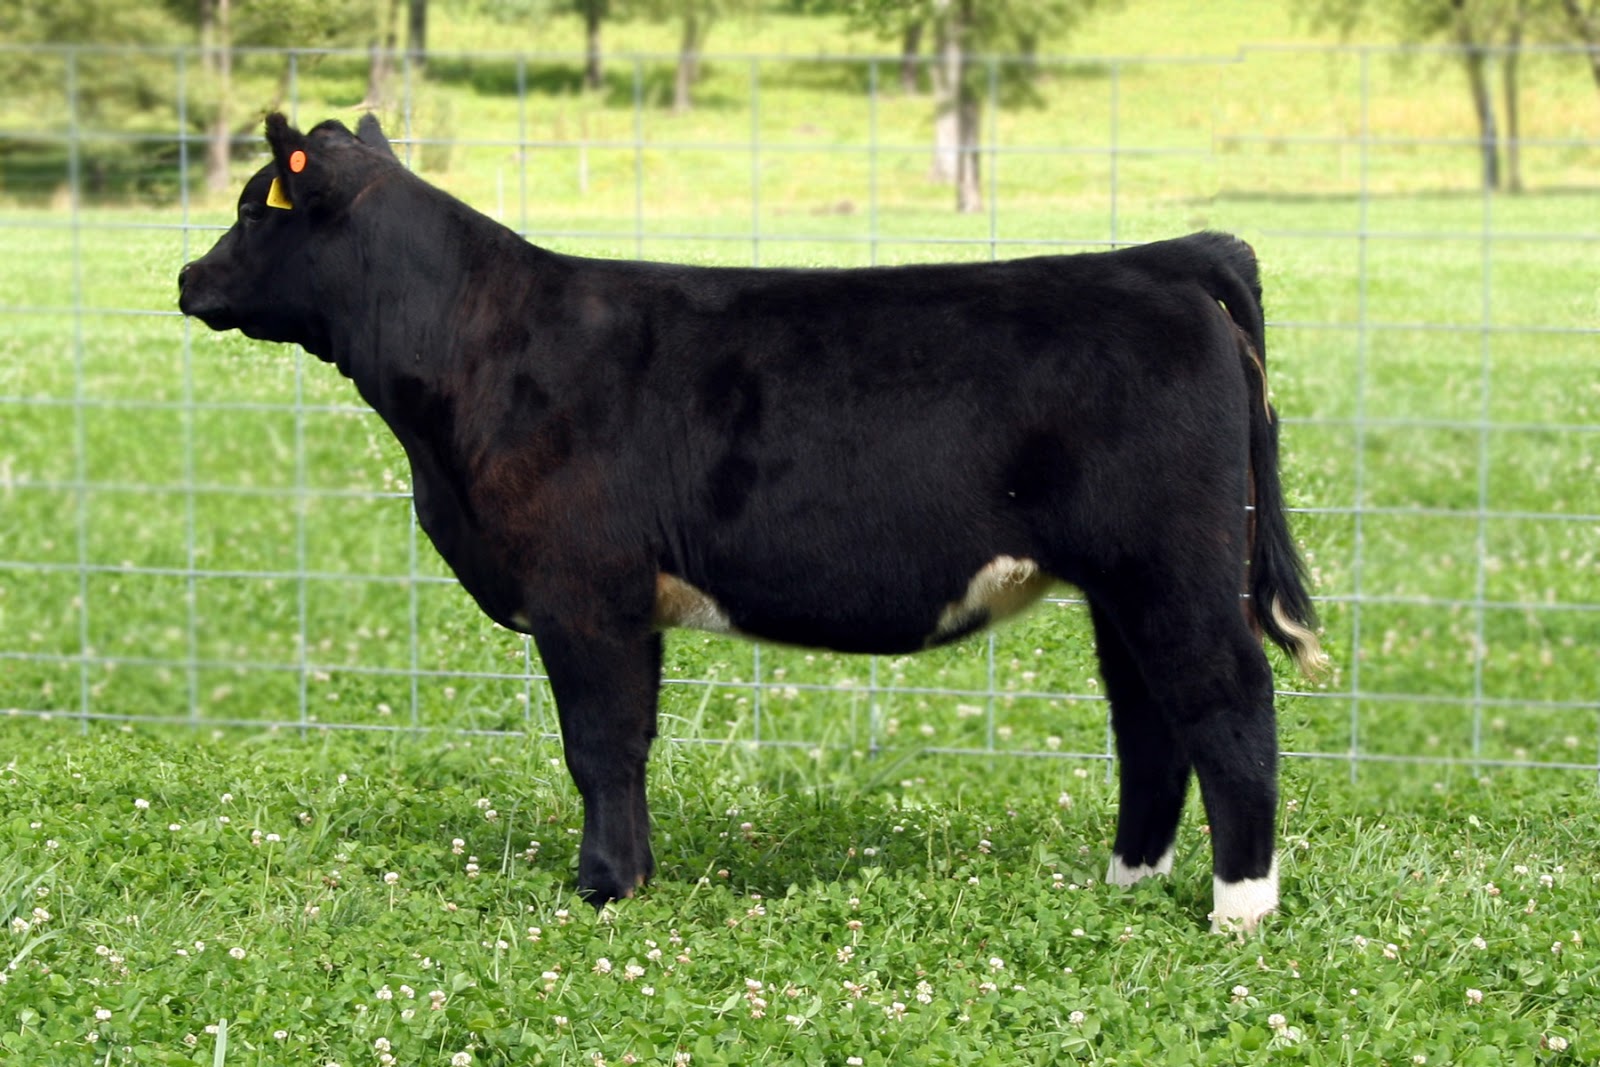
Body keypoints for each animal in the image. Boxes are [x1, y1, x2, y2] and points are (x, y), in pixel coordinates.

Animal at [178, 113, 1326, 933]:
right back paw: (1127, 881)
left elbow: (598, 744)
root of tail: (1164, 258)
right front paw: (632, 875)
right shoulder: (622, 602)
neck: (478, 348)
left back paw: (1239, 910)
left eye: (251, 207)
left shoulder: (582, 592)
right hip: (1123, 581)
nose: (188, 276)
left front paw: (604, 886)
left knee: (1225, 702)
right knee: (1147, 717)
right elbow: (631, 742)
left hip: (1172, 565)